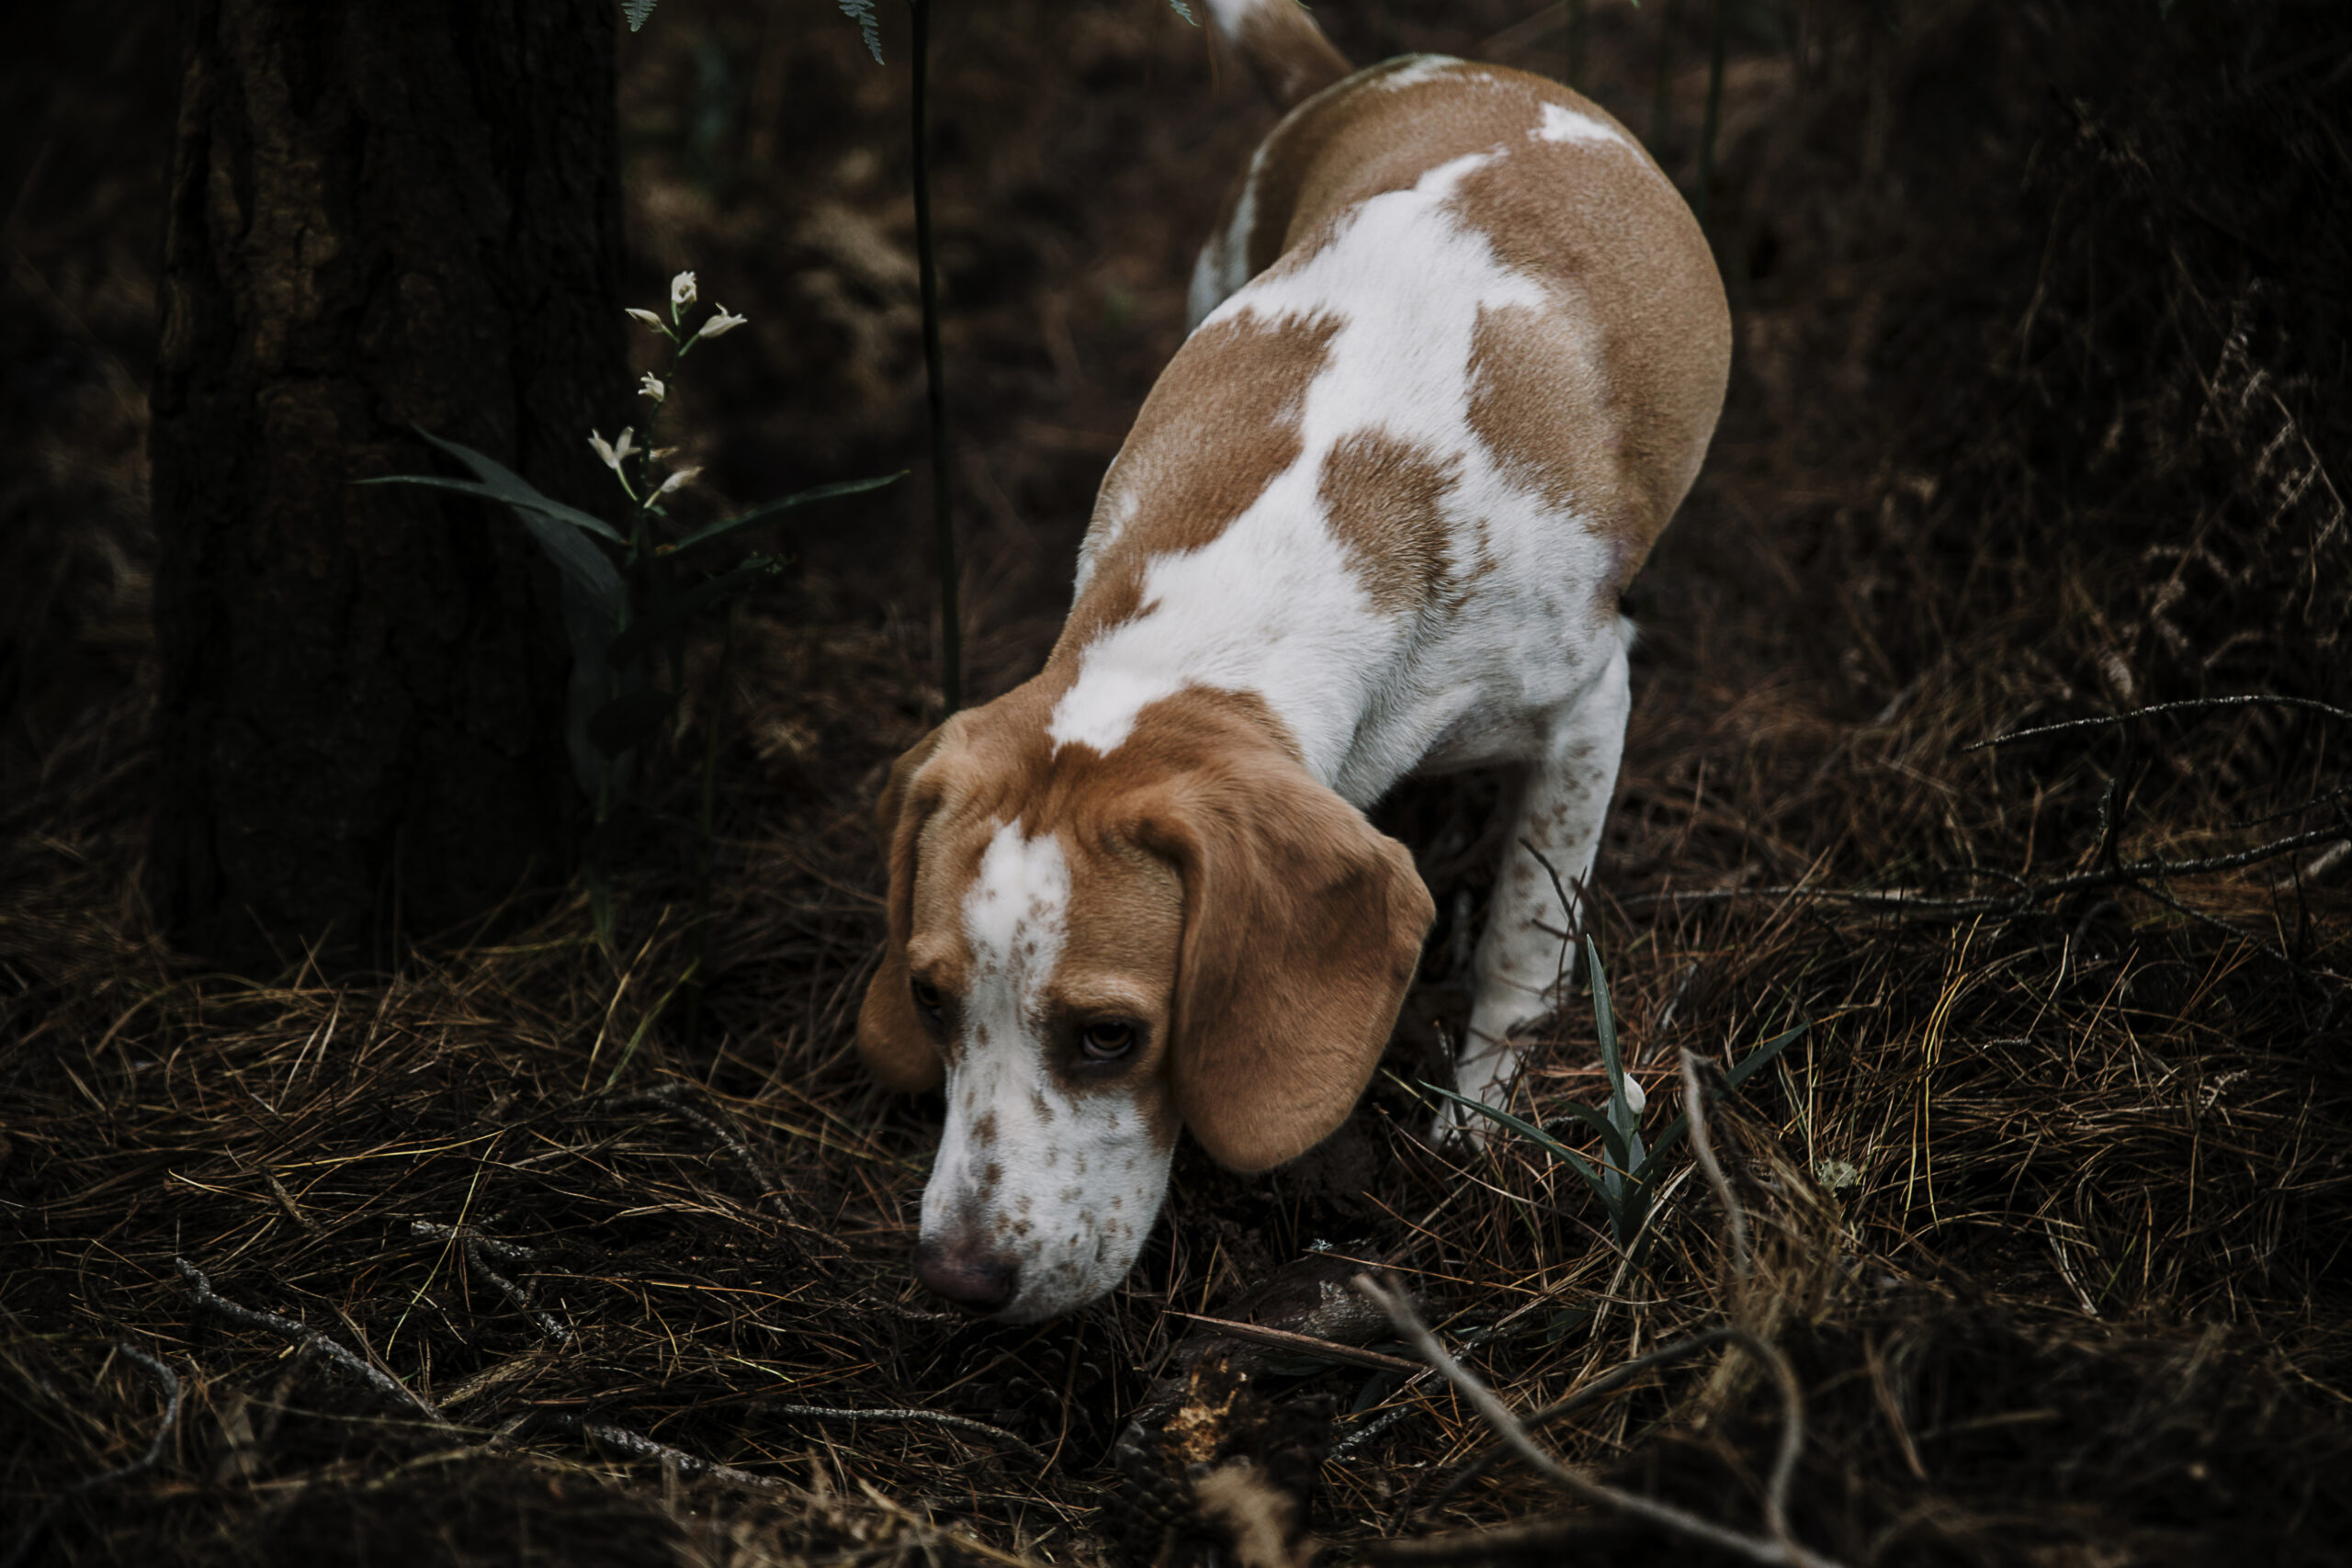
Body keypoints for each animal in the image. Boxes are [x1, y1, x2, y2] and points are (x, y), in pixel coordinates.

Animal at [860, 0, 1731, 1325]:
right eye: (927, 998)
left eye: (1109, 1035)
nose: (957, 1278)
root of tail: (1394, 71)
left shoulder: (1589, 699)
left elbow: (1526, 932)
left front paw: (1481, 1119)